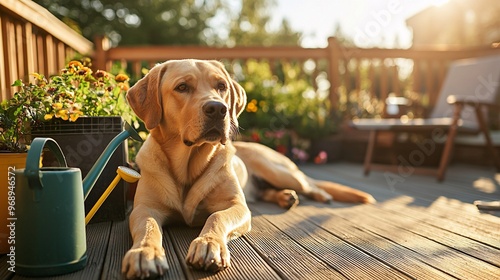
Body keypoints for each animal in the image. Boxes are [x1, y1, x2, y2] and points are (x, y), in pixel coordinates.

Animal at [120, 60, 372, 278]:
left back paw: (319, 195)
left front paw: (208, 245)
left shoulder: (237, 206)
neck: (188, 165)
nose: (218, 108)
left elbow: (216, 217)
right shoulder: (144, 208)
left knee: (308, 182)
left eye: (221, 86)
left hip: (277, 170)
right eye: (182, 87)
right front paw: (144, 253)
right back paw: (286, 197)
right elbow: (149, 227)